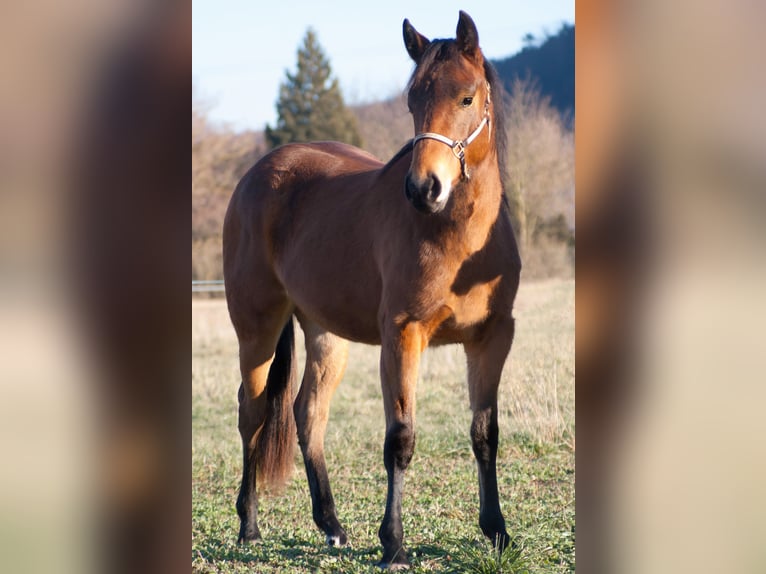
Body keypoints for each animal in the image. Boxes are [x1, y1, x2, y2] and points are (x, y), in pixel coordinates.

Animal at [222, 11, 520, 568]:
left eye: (467, 97)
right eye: (412, 100)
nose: (424, 189)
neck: (455, 236)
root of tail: (259, 172)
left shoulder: (492, 338)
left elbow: (485, 433)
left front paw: (496, 532)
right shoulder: (403, 336)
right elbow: (400, 439)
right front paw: (394, 544)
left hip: (326, 333)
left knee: (307, 414)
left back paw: (332, 526)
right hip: (256, 329)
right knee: (252, 415)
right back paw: (249, 527)